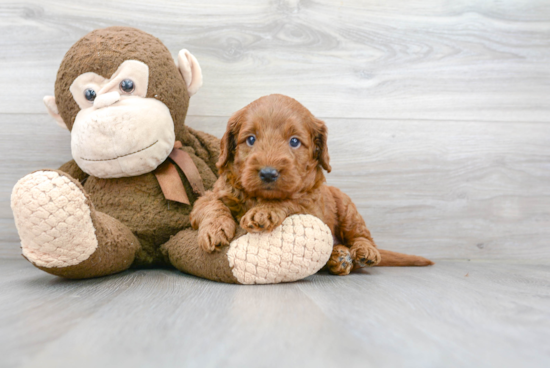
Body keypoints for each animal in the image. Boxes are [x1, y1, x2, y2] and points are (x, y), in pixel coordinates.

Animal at [192, 93, 434, 274]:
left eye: (294, 141)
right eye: (251, 139)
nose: (268, 173)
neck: (259, 196)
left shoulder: (311, 206)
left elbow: (289, 201)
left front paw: (264, 211)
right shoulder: (213, 193)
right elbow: (211, 205)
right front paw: (213, 230)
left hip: (347, 207)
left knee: (362, 235)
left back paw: (363, 252)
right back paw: (339, 258)